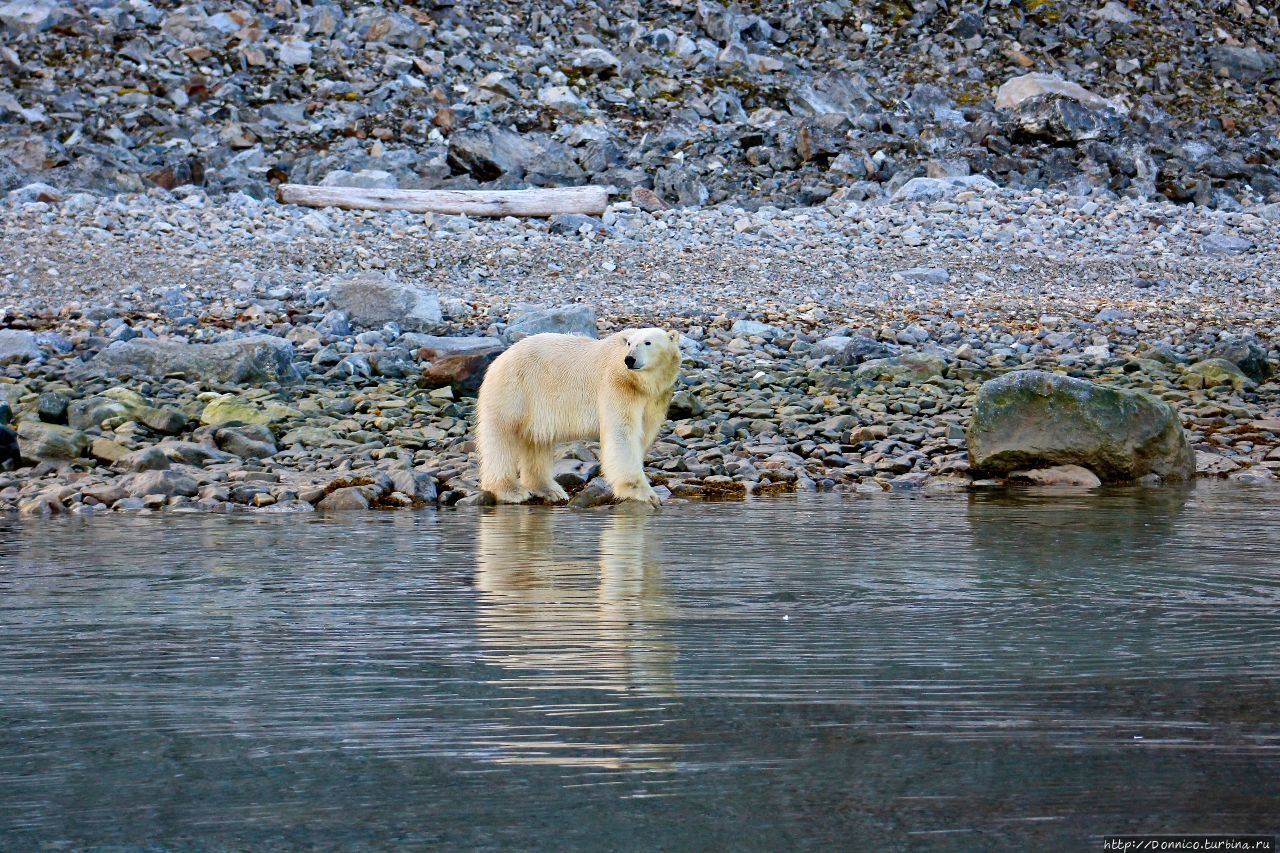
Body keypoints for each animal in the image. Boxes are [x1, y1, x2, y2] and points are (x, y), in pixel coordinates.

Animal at [478, 326, 680, 504]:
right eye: (629, 343)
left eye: (648, 342)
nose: (629, 359)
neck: (640, 383)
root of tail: (500, 358)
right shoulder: (618, 385)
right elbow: (622, 433)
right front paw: (643, 493)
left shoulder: (654, 397)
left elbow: (644, 433)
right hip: (514, 389)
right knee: (502, 436)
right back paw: (510, 490)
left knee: (537, 440)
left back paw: (550, 490)